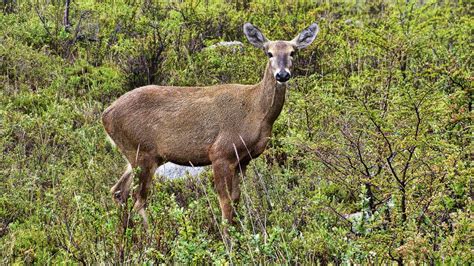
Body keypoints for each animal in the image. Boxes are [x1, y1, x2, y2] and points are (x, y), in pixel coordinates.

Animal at [102, 22, 320, 229]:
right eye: (269, 53)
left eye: (292, 52)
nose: (282, 75)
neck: (257, 112)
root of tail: (106, 114)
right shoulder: (220, 152)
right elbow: (225, 201)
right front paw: (227, 238)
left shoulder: (243, 160)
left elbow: (236, 198)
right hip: (142, 152)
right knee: (138, 200)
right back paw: (148, 236)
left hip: (138, 155)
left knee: (118, 191)